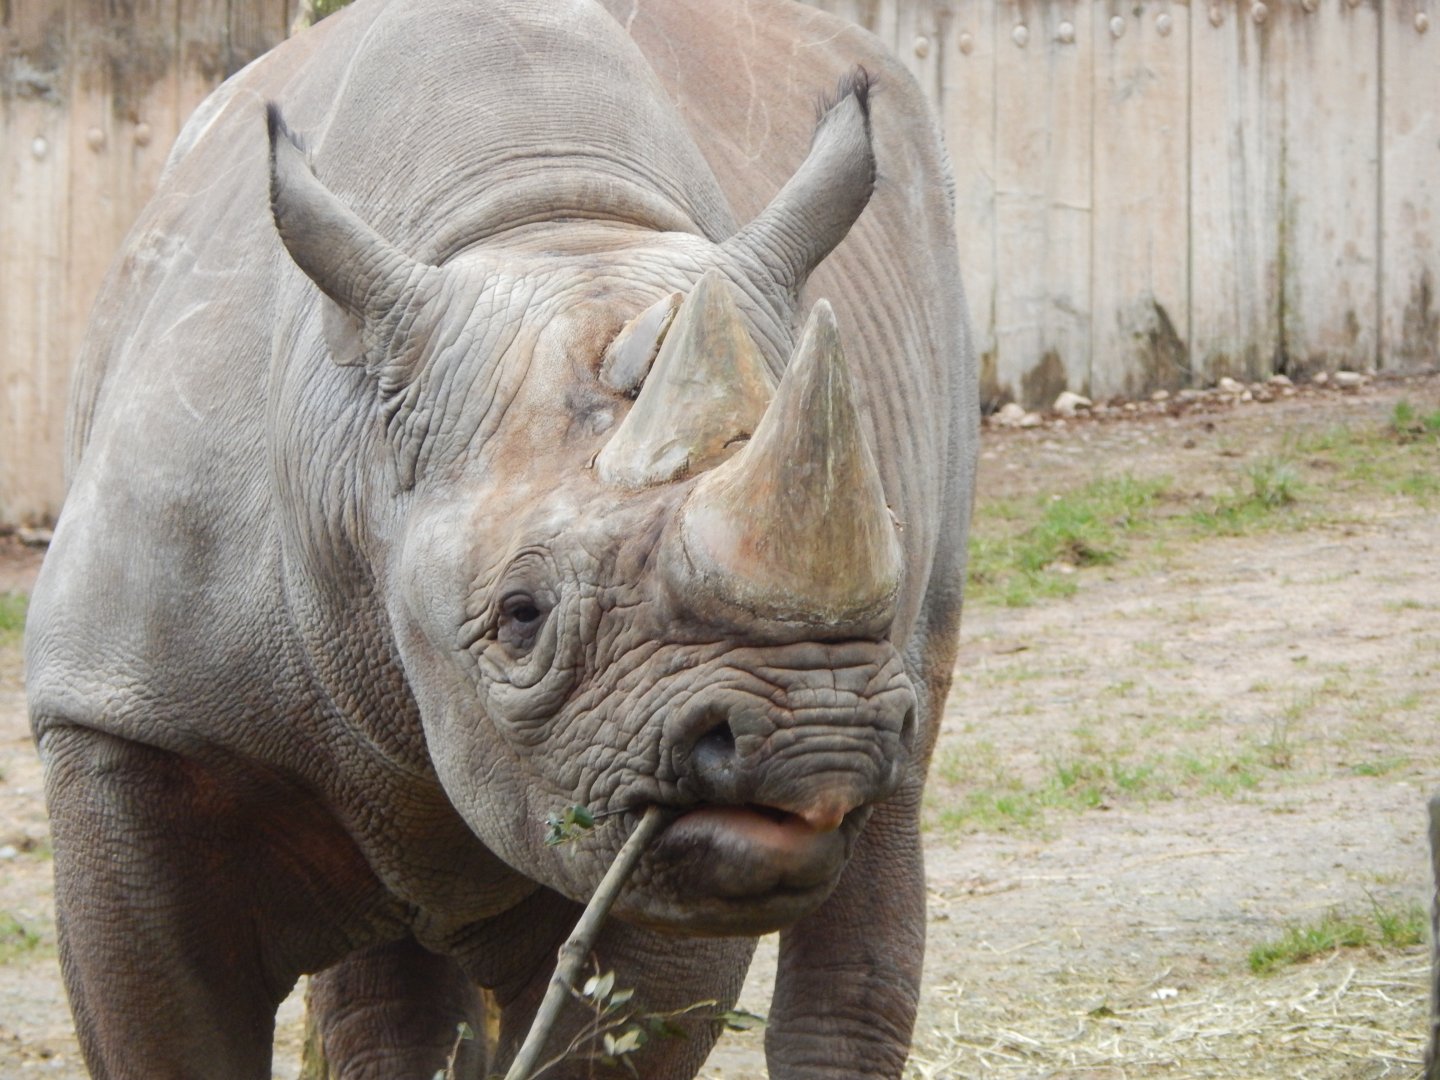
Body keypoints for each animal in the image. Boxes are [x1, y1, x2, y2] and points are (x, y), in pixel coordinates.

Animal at [24, 0, 976, 1076]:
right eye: (521, 615)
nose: (815, 736)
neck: (545, 225)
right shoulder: (122, 712)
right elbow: (165, 1026)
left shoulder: (650, 820)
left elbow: (605, 1023)